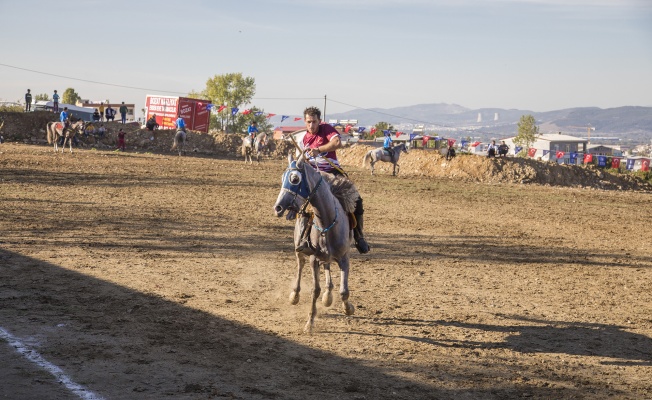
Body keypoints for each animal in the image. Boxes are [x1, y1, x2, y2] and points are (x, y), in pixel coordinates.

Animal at [272, 152, 360, 332]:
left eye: (294, 179)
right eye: (282, 177)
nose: (277, 208)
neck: (327, 223)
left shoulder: (344, 258)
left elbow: (344, 291)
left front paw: (348, 308)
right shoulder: (313, 259)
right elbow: (315, 290)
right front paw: (310, 322)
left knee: (327, 267)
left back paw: (328, 294)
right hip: (299, 250)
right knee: (300, 266)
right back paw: (295, 295)